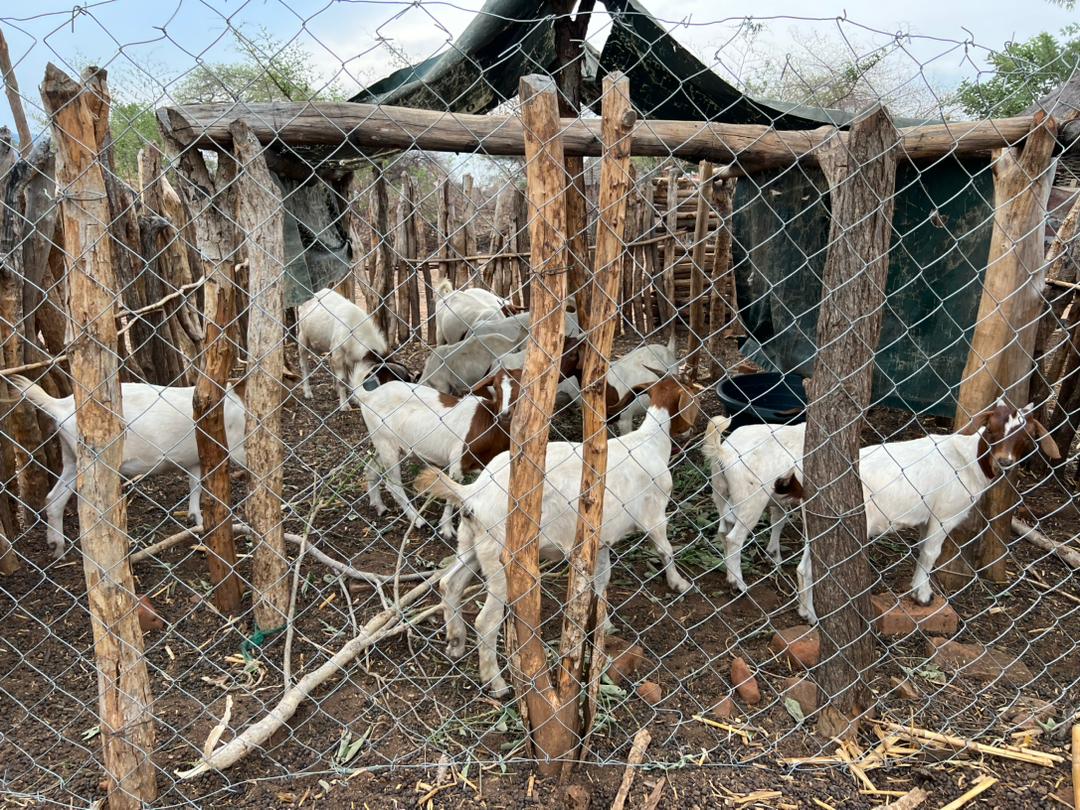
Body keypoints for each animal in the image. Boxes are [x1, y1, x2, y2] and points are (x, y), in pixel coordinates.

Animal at [9, 373, 247, 557]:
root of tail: (59, 405)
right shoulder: (233, 444)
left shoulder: (194, 460)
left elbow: (195, 485)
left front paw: (195, 519)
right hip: (93, 457)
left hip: (71, 459)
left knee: (54, 499)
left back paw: (57, 549)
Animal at [412, 375, 699, 699]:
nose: (691, 430)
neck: (649, 442)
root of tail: (474, 493)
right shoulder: (655, 517)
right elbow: (666, 550)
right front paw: (679, 583)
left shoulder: (600, 540)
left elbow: (601, 581)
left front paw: (604, 624)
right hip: (501, 559)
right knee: (485, 621)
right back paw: (496, 683)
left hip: (473, 542)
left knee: (450, 583)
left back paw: (455, 642)